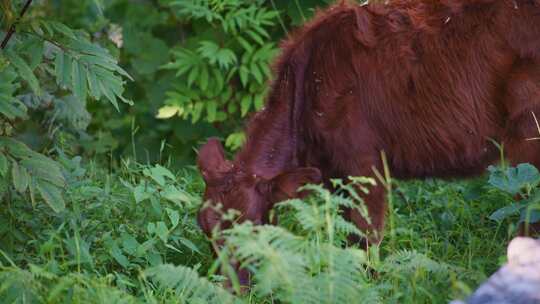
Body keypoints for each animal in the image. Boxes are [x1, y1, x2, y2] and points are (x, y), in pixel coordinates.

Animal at [196, 0, 540, 282]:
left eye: (254, 225)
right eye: (205, 228)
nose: (231, 289)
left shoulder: (365, 164)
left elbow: (365, 239)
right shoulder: (334, 175)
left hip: (527, 135)